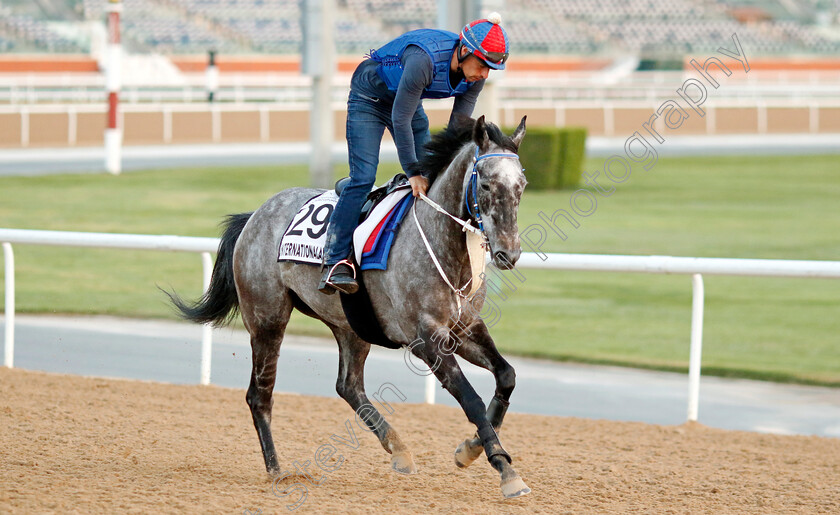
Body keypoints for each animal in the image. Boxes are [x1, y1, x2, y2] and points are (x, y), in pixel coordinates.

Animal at [167, 115, 528, 498]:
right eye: (486, 184)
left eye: (522, 185)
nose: (509, 253)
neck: (443, 247)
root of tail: (255, 215)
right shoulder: (426, 339)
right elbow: (470, 398)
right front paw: (505, 469)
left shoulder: (464, 326)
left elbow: (506, 375)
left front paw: (471, 448)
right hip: (267, 319)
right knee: (259, 395)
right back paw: (277, 471)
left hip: (351, 325)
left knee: (348, 386)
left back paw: (398, 450)